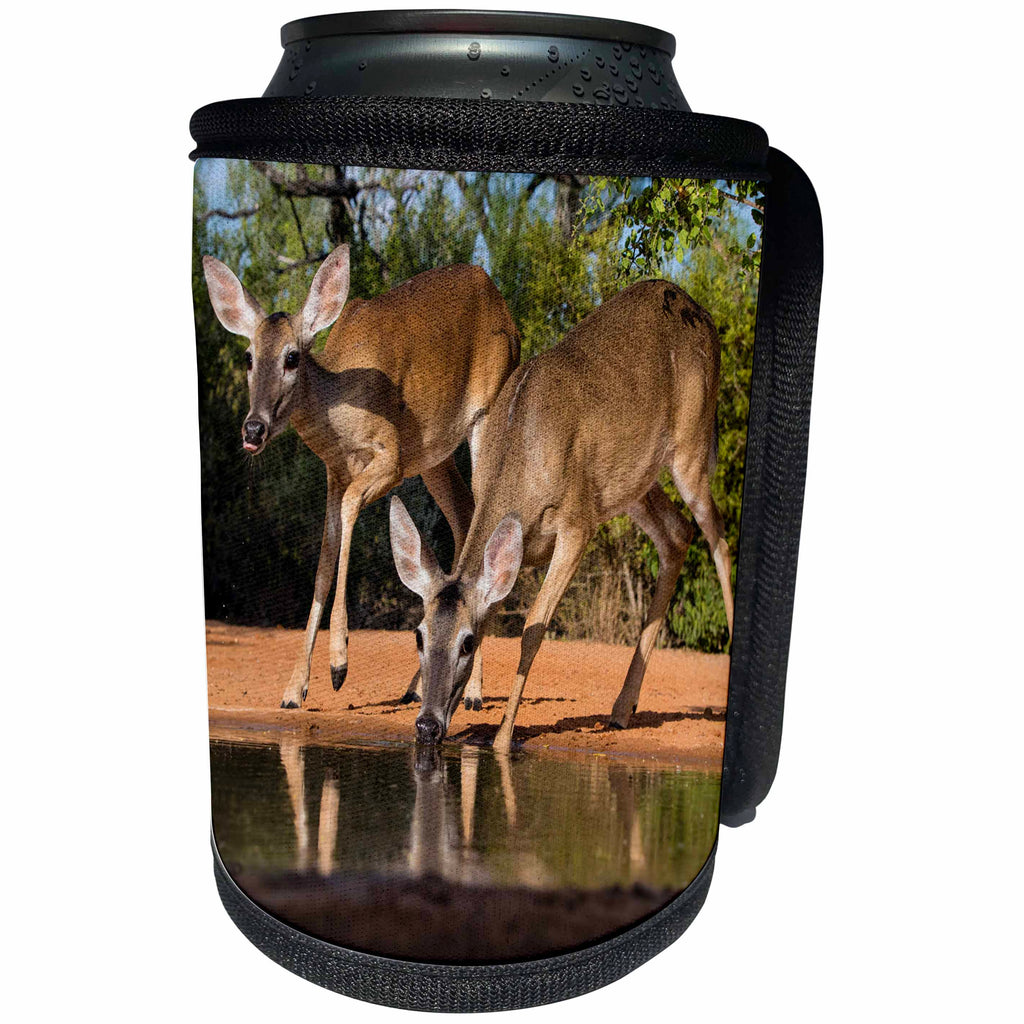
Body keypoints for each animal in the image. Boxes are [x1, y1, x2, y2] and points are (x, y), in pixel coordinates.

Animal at [202, 245, 520, 709]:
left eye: (292, 357)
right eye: (248, 357)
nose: (253, 429)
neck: (338, 409)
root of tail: (503, 306)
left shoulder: (390, 458)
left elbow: (351, 512)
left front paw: (339, 664)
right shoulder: (335, 472)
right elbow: (323, 559)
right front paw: (293, 690)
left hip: (485, 414)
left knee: (483, 514)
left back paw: (474, 693)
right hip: (435, 456)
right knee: (464, 516)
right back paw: (418, 686)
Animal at [388, 279, 734, 754]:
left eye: (468, 643)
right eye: (418, 636)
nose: (427, 726)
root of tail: (703, 315)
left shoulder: (577, 522)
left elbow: (533, 627)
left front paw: (503, 739)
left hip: (691, 446)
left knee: (718, 537)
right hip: (630, 484)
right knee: (677, 534)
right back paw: (622, 708)